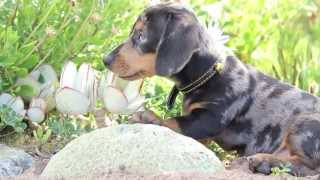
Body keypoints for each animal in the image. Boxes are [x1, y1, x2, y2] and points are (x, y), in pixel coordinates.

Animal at [102, 3, 320, 176]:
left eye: (140, 36)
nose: (105, 59)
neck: (209, 73)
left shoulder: (210, 117)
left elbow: (176, 122)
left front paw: (151, 118)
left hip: (303, 124)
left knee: (309, 167)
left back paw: (265, 162)